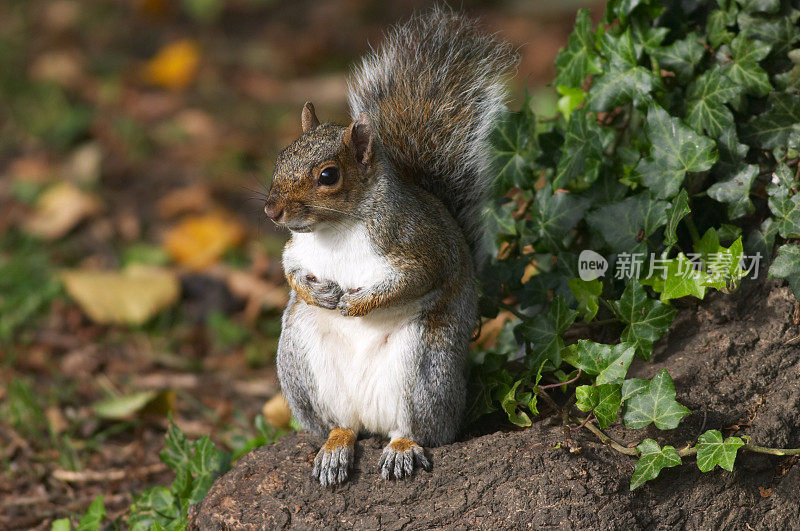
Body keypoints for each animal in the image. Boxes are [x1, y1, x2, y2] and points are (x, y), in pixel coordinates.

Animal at [262, 6, 520, 486]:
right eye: (281, 157)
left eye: (328, 176)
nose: (272, 211)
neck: (337, 229)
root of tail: (371, 417)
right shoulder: (298, 250)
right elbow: (290, 271)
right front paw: (319, 293)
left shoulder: (418, 244)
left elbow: (416, 278)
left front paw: (356, 304)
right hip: (300, 364)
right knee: (342, 425)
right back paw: (334, 448)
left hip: (425, 368)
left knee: (417, 428)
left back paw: (401, 448)